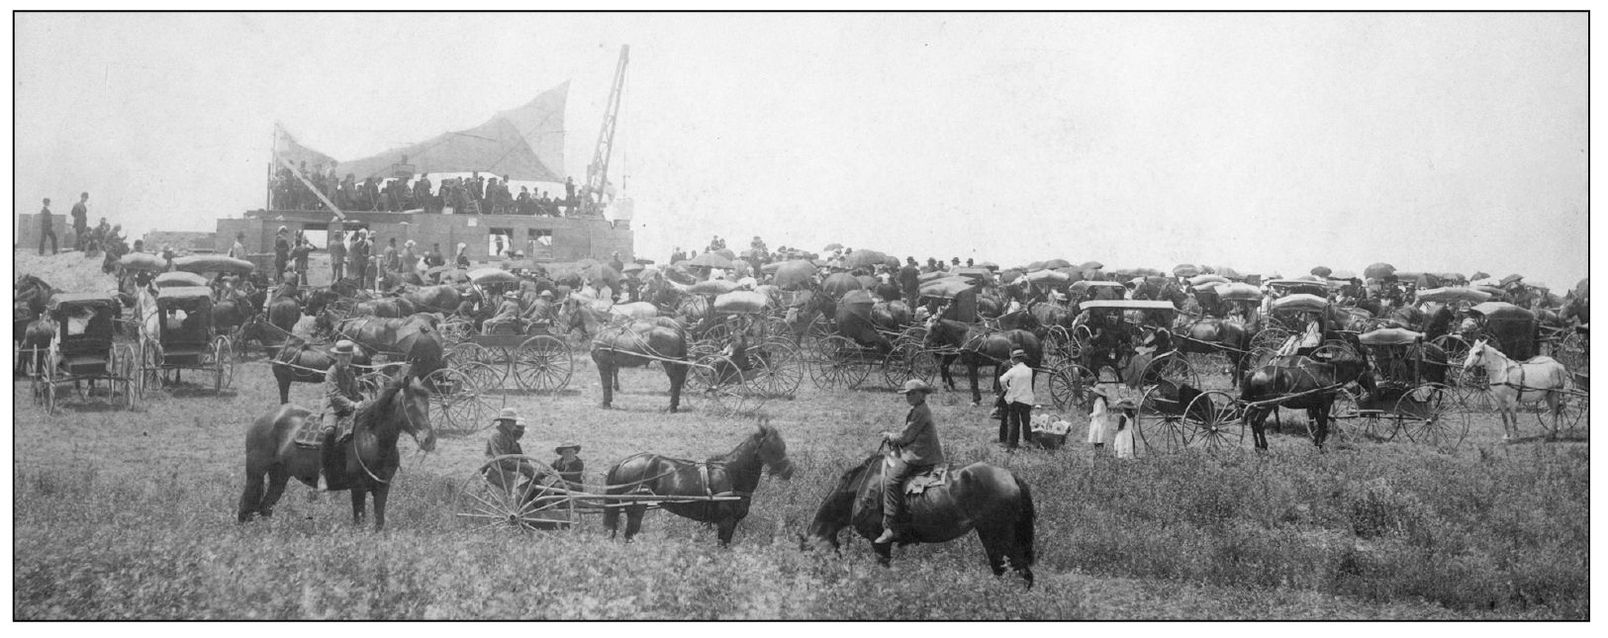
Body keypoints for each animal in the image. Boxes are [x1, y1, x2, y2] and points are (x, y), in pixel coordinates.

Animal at [234, 368, 430, 527]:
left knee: (265, 507)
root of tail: (262, 420)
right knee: (246, 506)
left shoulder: (382, 488)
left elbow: (379, 522)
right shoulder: (357, 488)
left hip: (279, 476)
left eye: (427, 404)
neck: (372, 438)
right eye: (410, 405)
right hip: (255, 473)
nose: (428, 439)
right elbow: (359, 522)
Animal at [601, 421, 794, 543]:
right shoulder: (726, 522)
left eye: (783, 445)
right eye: (772, 448)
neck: (732, 475)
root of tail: (624, 462)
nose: (789, 471)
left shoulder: (731, 524)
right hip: (636, 509)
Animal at [804, 449, 1041, 584]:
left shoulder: (879, 542)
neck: (860, 489)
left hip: (999, 535)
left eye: (811, 557)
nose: (810, 583)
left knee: (1021, 573)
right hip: (991, 536)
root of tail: (1010, 476)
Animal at [1234, 345, 1363, 449]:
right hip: (1266, 405)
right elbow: (1323, 423)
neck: (1328, 373)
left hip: (1257, 405)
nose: (1359, 390)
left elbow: (1319, 423)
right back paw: (1264, 446)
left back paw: (1258, 446)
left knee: (1253, 422)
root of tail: (1254, 373)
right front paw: (1320, 445)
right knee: (1258, 423)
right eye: (1365, 369)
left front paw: (1316, 442)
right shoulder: (1325, 404)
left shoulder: (1314, 405)